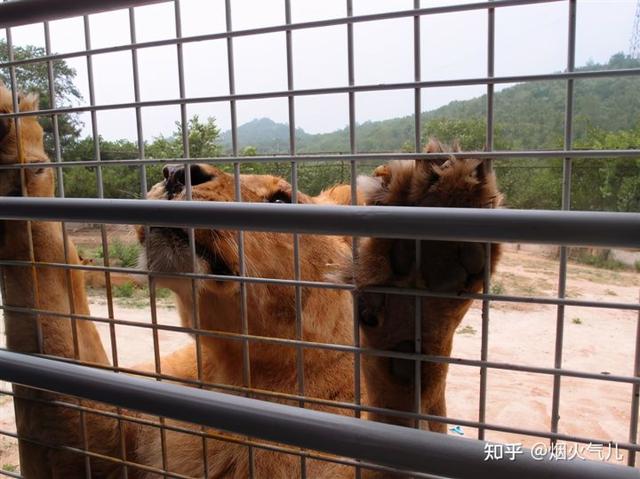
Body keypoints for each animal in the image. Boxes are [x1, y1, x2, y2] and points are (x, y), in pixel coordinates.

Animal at [0, 84, 500, 478]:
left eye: (280, 199)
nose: (175, 173)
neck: (242, 373)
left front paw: (423, 271)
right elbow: (44, 292)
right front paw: (12, 133)